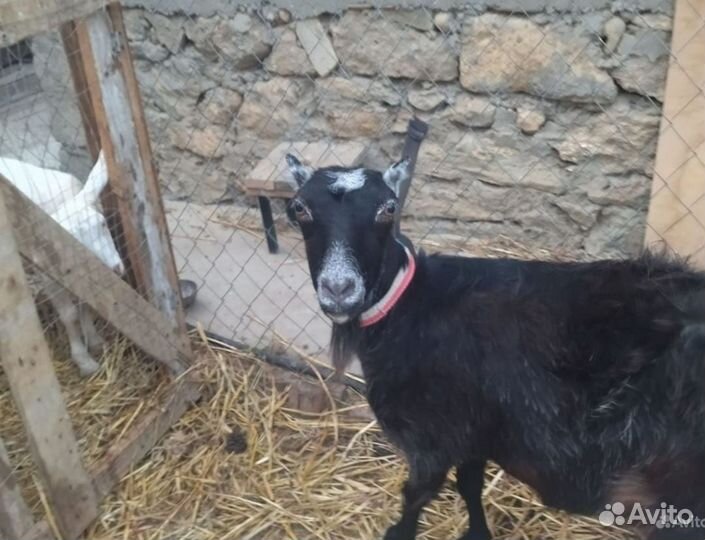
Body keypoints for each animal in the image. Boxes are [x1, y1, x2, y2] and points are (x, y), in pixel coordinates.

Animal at [0, 152, 125, 376]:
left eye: (103, 223)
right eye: (72, 245)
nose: (115, 270)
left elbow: (86, 305)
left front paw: (94, 341)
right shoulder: (48, 274)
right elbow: (70, 315)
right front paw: (84, 360)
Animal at [285, 154, 705, 540]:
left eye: (389, 208)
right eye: (299, 208)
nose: (339, 289)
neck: (410, 306)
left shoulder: (431, 437)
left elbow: (416, 497)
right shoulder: (474, 428)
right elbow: (470, 485)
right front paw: (477, 533)